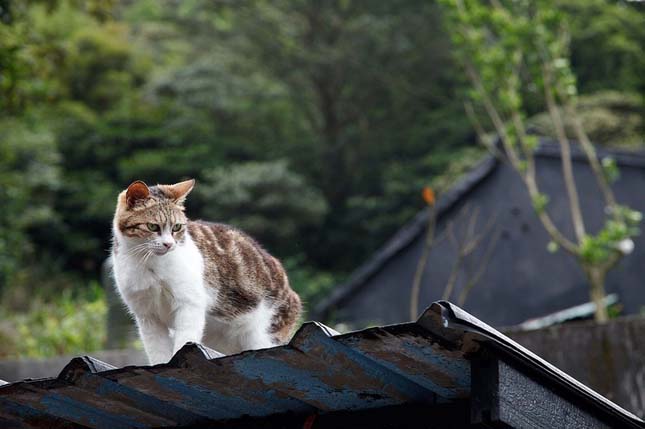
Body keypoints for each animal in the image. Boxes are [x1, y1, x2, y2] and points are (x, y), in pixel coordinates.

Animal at [111, 179, 302, 362]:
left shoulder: (189, 304)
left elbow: (184, 340)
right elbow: (157, 351)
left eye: (176, 227)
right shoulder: (147, 316)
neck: (147, 262)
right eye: (152, 227)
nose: (169, 244)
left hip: (262, 335)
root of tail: (291, 294)